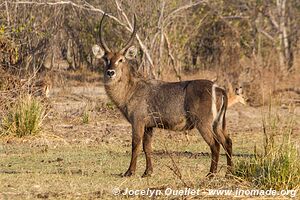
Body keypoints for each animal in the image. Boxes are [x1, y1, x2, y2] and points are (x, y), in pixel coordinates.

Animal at [92, 13, 233, 177]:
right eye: (106, 59)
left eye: (121, 59)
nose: (110, 72)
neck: (130, 90)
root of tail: (218, 88)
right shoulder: (149, 126)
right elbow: (147, 147)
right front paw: (148, 172)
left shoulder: (138, 121)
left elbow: (135, 145)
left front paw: (130, 172)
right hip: (217, 123)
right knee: (227, 142)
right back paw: (229, 173)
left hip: (203, 123)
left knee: (215, 144)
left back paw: (211, 174)